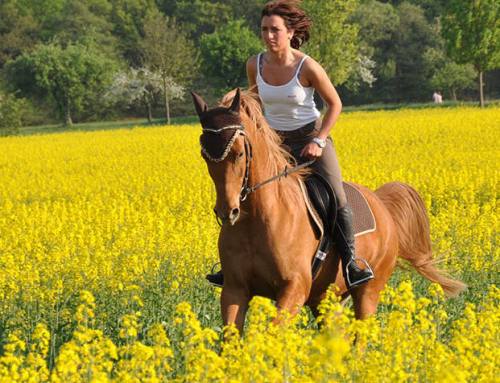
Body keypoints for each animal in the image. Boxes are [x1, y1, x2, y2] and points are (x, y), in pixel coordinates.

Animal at [193, 88, 466, 332]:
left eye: (239, 153)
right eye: (204, 156)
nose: (227, 211)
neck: (258, 218)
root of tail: (381, 203)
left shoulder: (295, 287)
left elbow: (272, 333)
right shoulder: (234, 290)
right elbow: (231, 340)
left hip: (368, 291)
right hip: (327, 299)